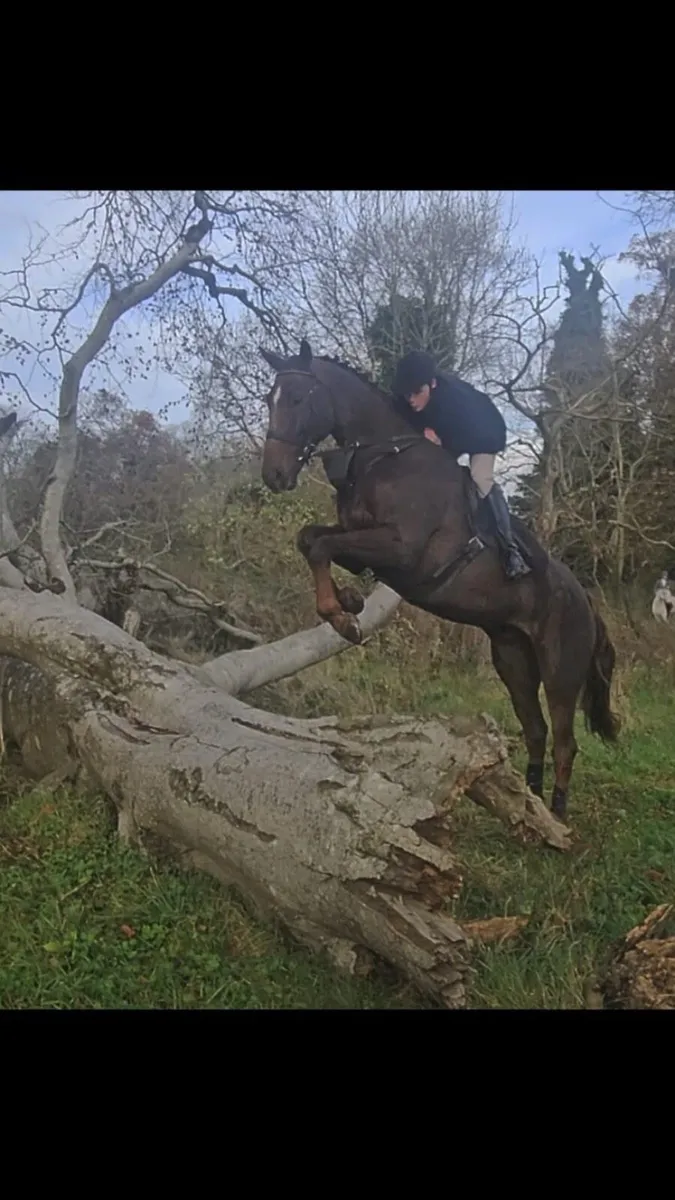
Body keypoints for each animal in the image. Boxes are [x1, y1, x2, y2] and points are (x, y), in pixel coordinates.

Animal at [259, 338, 619, 823]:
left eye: (298, 399)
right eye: (270, 400)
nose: (273, 475)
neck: (383, 457)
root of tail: (585, 600)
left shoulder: (401, 551)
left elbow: (320, 547)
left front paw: (343, 617)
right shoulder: (363, 540)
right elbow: (312, 539)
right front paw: (350, 602)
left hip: (561, 669)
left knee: (565, 742)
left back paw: (557, 817)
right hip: (513, 658)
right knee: (536, 730)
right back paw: (530, 806)